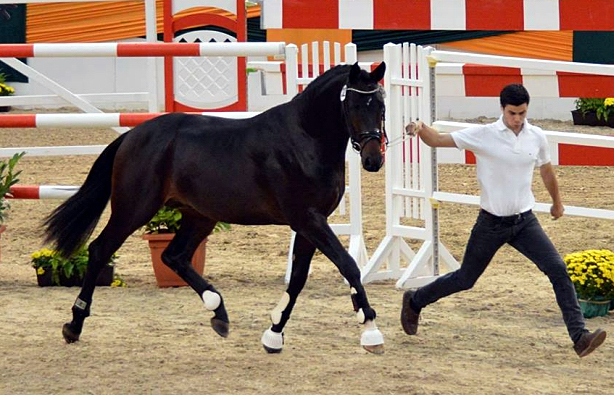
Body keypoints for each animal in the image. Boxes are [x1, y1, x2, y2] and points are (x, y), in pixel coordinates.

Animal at [45, 62, 388, 356]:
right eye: (354, 106)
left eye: (381, 106)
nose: (373, 160)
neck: (304, 138)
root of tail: (133, 134)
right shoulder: (308, 220)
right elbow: (348, 266)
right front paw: (370, 331)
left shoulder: (309, 224)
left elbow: (299, 279)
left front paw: (273, 335)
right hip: (134, 209)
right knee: (100, 250)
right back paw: (74, 325)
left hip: (198, 216)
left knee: (174, 256)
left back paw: (218, 312)